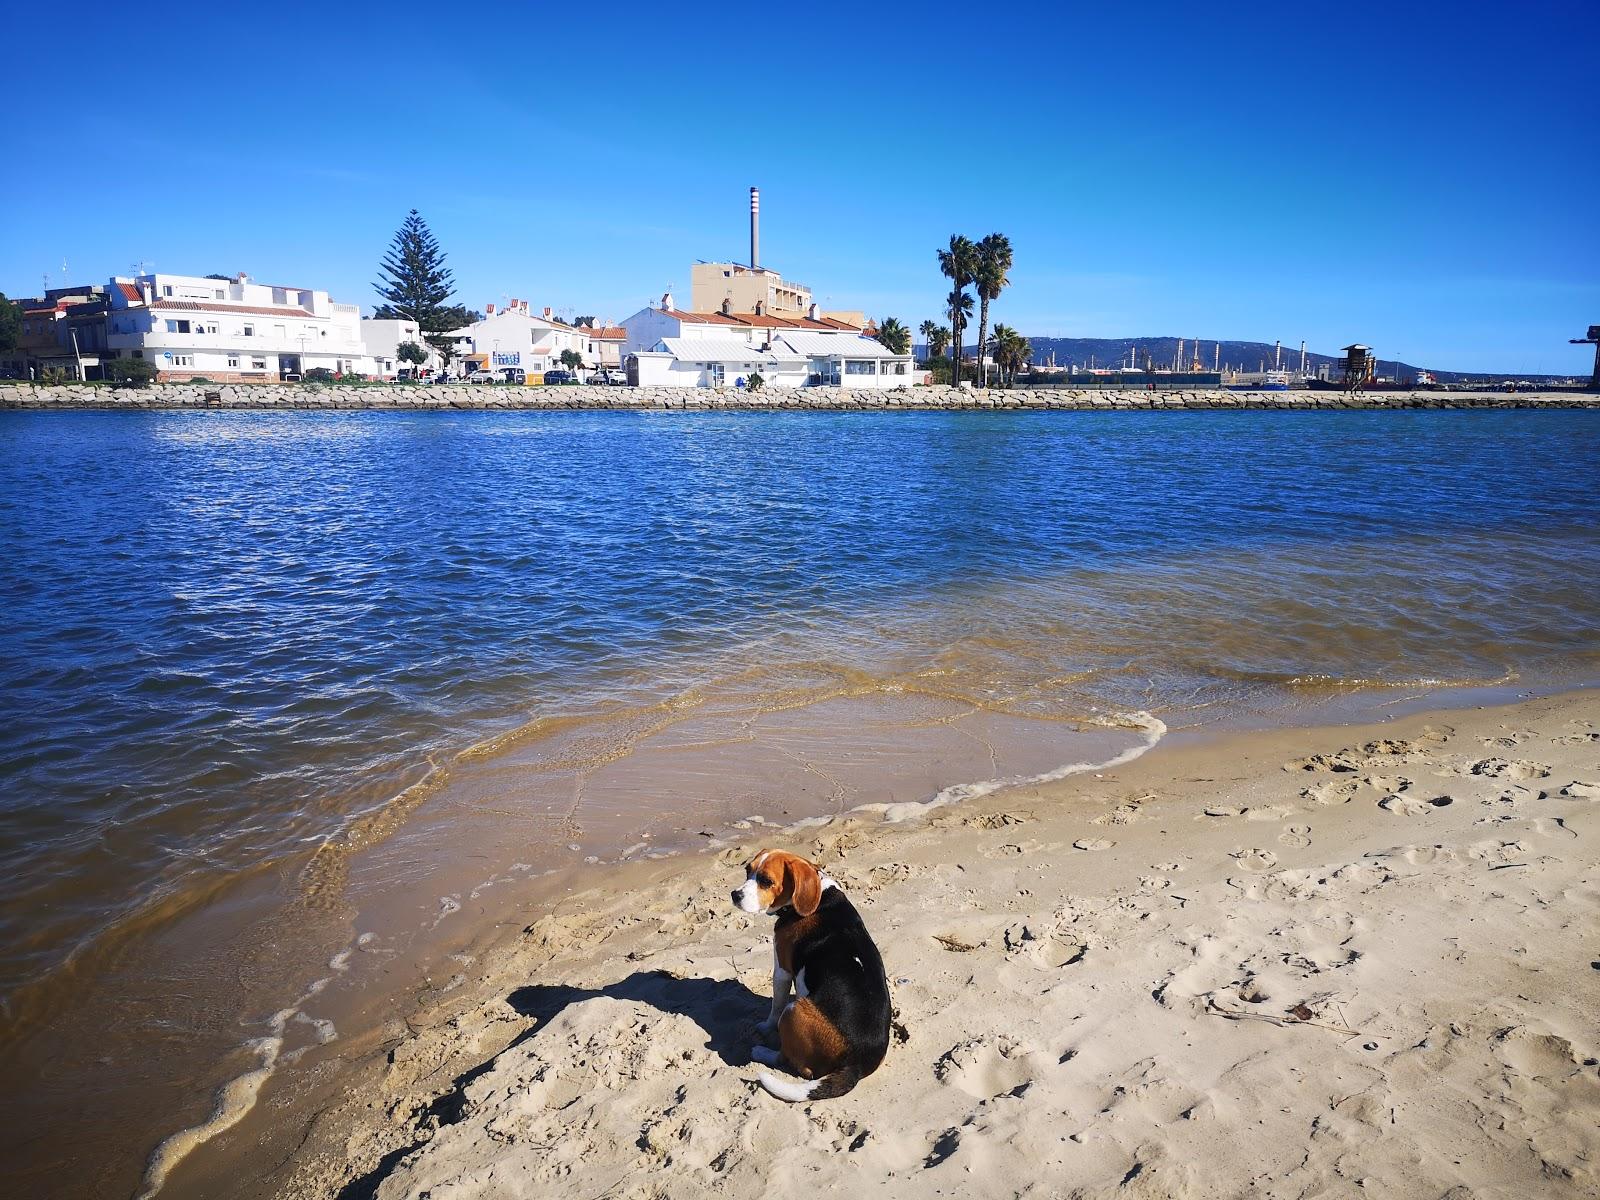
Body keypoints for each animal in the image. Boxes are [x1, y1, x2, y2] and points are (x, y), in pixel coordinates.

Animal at [732, 851, 896, 1107]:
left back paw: (761, 1052)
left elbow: (774, 1007)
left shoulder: (782, 971)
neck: (819, 898)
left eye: (766, 881)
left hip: (793, 1012)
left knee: (790, 1060)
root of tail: (857, 1064)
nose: (735, 895)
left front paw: (765, 1027)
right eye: (747, 871)